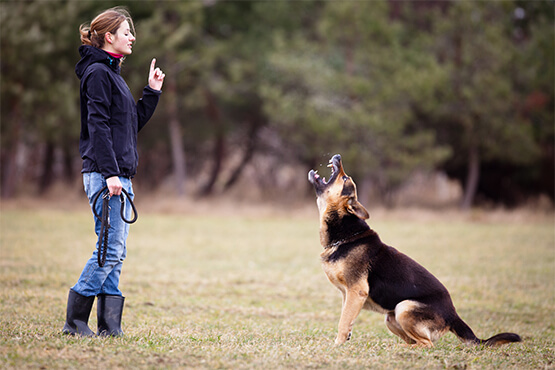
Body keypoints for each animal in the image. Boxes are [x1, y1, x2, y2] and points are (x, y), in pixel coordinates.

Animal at [308, 153, 520, 346]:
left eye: (345, 179)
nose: (337, 155)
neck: (345, 235)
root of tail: (453, 315)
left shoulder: (356, 292)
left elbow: (343, 322)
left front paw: (337, 345)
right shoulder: (348, 296)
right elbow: (347, 319)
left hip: (404, 307)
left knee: (427, 344)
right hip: (391, 318)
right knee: (416, 341)